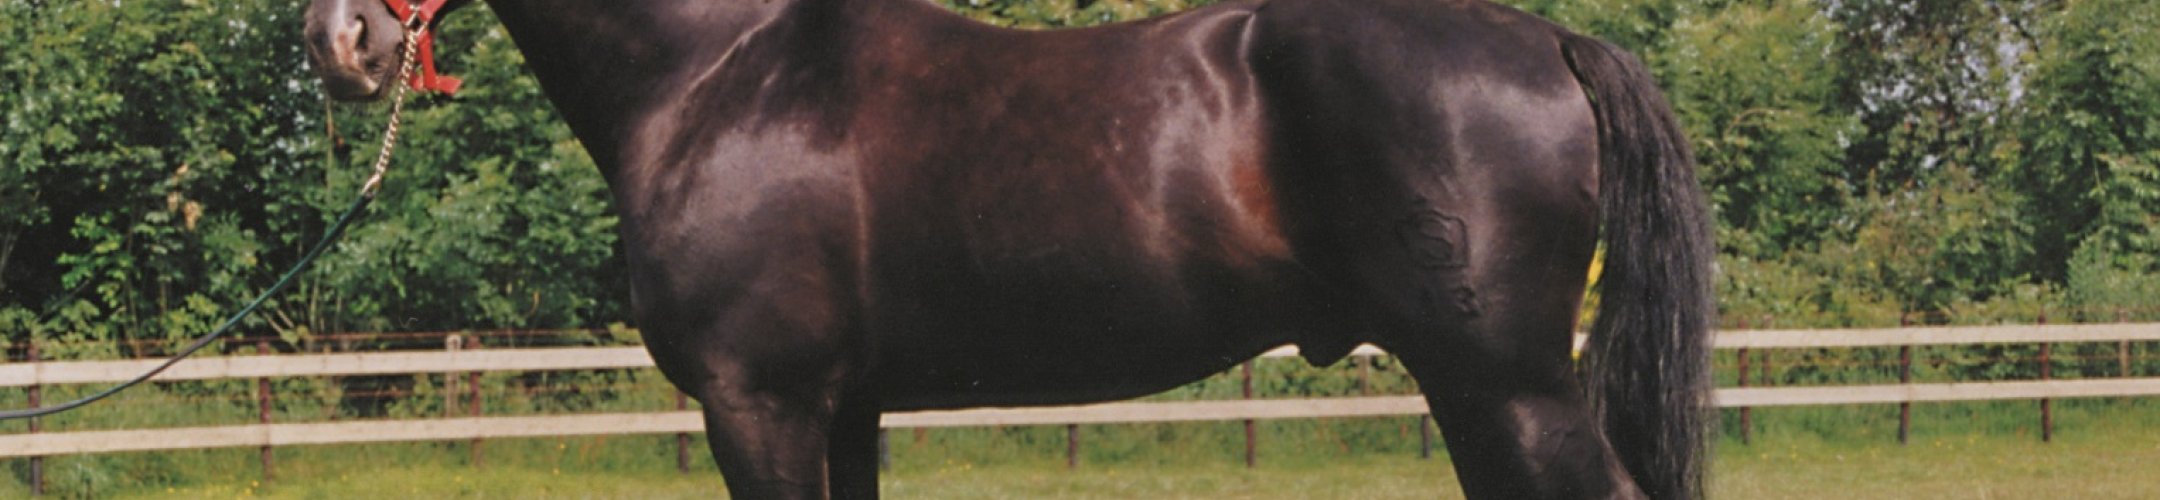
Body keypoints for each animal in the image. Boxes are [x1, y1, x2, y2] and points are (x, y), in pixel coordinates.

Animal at [303, 0, 1714, 497]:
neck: (719, 68)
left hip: (1505, 385)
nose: (342, 40)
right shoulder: (842, 406)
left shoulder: (759, 402)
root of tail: (1549, 40)